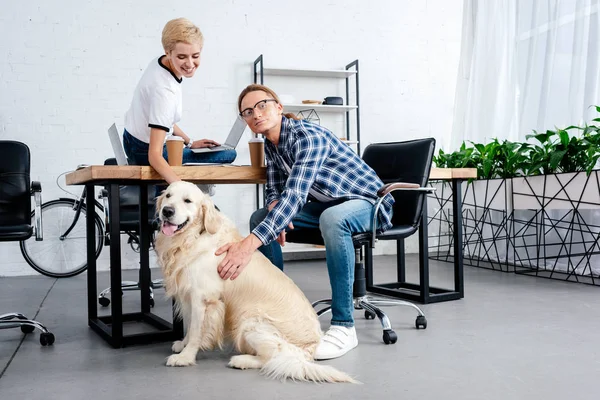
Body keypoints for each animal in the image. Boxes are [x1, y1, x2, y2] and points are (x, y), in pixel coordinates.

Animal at [154, 182, 356, 384]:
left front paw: (185, 357)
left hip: (250, 322)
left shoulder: (203, 298)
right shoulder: (189, 295)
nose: (167, 211)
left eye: (187, 200)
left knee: (273, 358)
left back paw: (241, 360)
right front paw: (183, 344)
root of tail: (309, 350)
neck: (191, 238)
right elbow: (190, 326)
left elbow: (196, 331)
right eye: (168, 196)